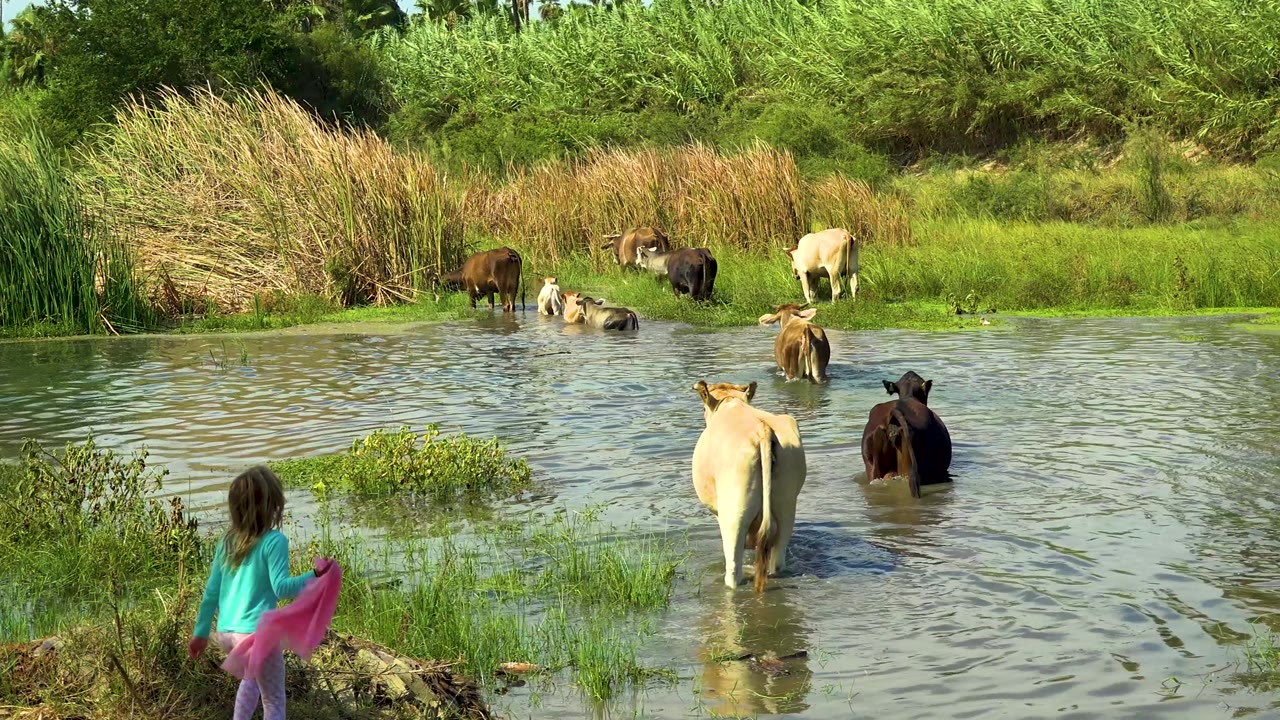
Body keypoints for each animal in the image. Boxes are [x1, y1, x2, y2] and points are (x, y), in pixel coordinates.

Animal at [691, 380, 806, 592]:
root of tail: (762, 429)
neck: (731, 403)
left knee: (733, 568)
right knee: (777, 560)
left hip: (734, 512)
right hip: (786, 505)